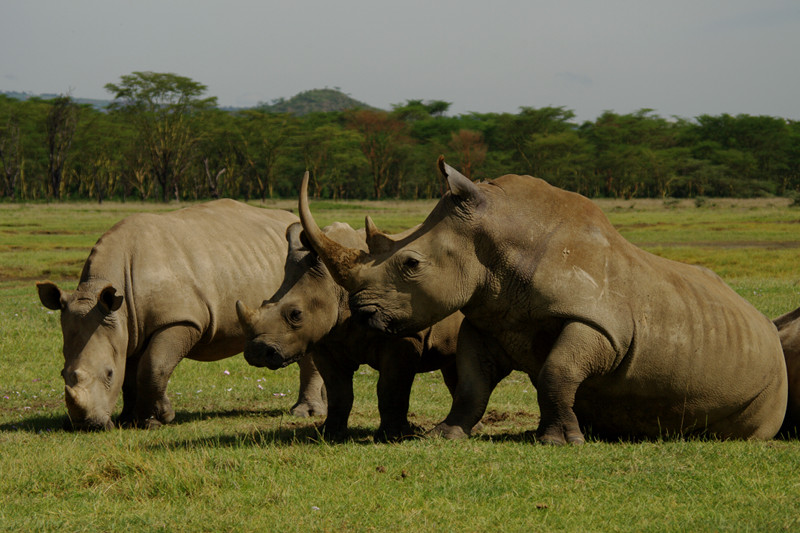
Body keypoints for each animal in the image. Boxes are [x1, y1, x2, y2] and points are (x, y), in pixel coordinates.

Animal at [36, 198, 324, 428]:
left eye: (108, 374)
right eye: (62, 374)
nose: (88, 425)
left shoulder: (180, 320)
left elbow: (154, 367)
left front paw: (157, 419)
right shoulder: (127, 325)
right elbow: (130, 375)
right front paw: (129, 420)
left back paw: (304, 413)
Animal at [234, 220, 462, 440]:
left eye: (296, 314)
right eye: (264, 302)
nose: (256, 354)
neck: (334, 287)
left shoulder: (402, 337)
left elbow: (390, 387)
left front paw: (392, 436)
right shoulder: (327, 340)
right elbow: (338, 391)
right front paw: (329, 434)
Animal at [296, 160, 788, 442]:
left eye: (411, 264)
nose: (362, 315)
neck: (500, 242)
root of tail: (767, 326)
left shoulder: (601, 324)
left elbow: (558, 371)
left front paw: (558, 442)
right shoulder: (488, 318)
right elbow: (472, 385)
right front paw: (442, 436)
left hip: (773, 378)